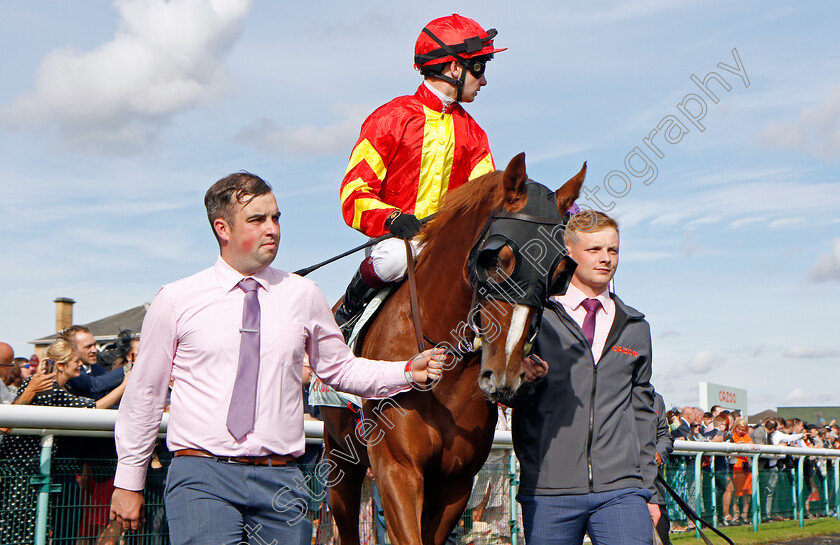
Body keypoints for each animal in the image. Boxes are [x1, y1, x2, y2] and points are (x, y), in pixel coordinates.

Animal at [320, 153, 584, 544]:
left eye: (560, 271)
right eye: (496, 258)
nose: (504, 376)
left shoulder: (455, 483)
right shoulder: (396, 470)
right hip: (341, 458)